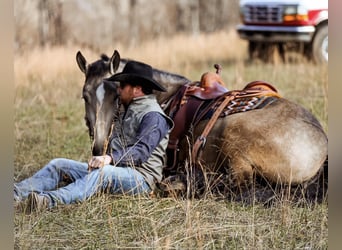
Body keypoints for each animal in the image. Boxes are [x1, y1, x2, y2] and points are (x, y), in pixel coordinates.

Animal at [76, 49, 328, 200]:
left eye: (116, 95)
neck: (163, 97)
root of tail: (321, 147)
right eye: (84, 96)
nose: (99, 146)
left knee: (234, 184)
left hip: (234, 140)